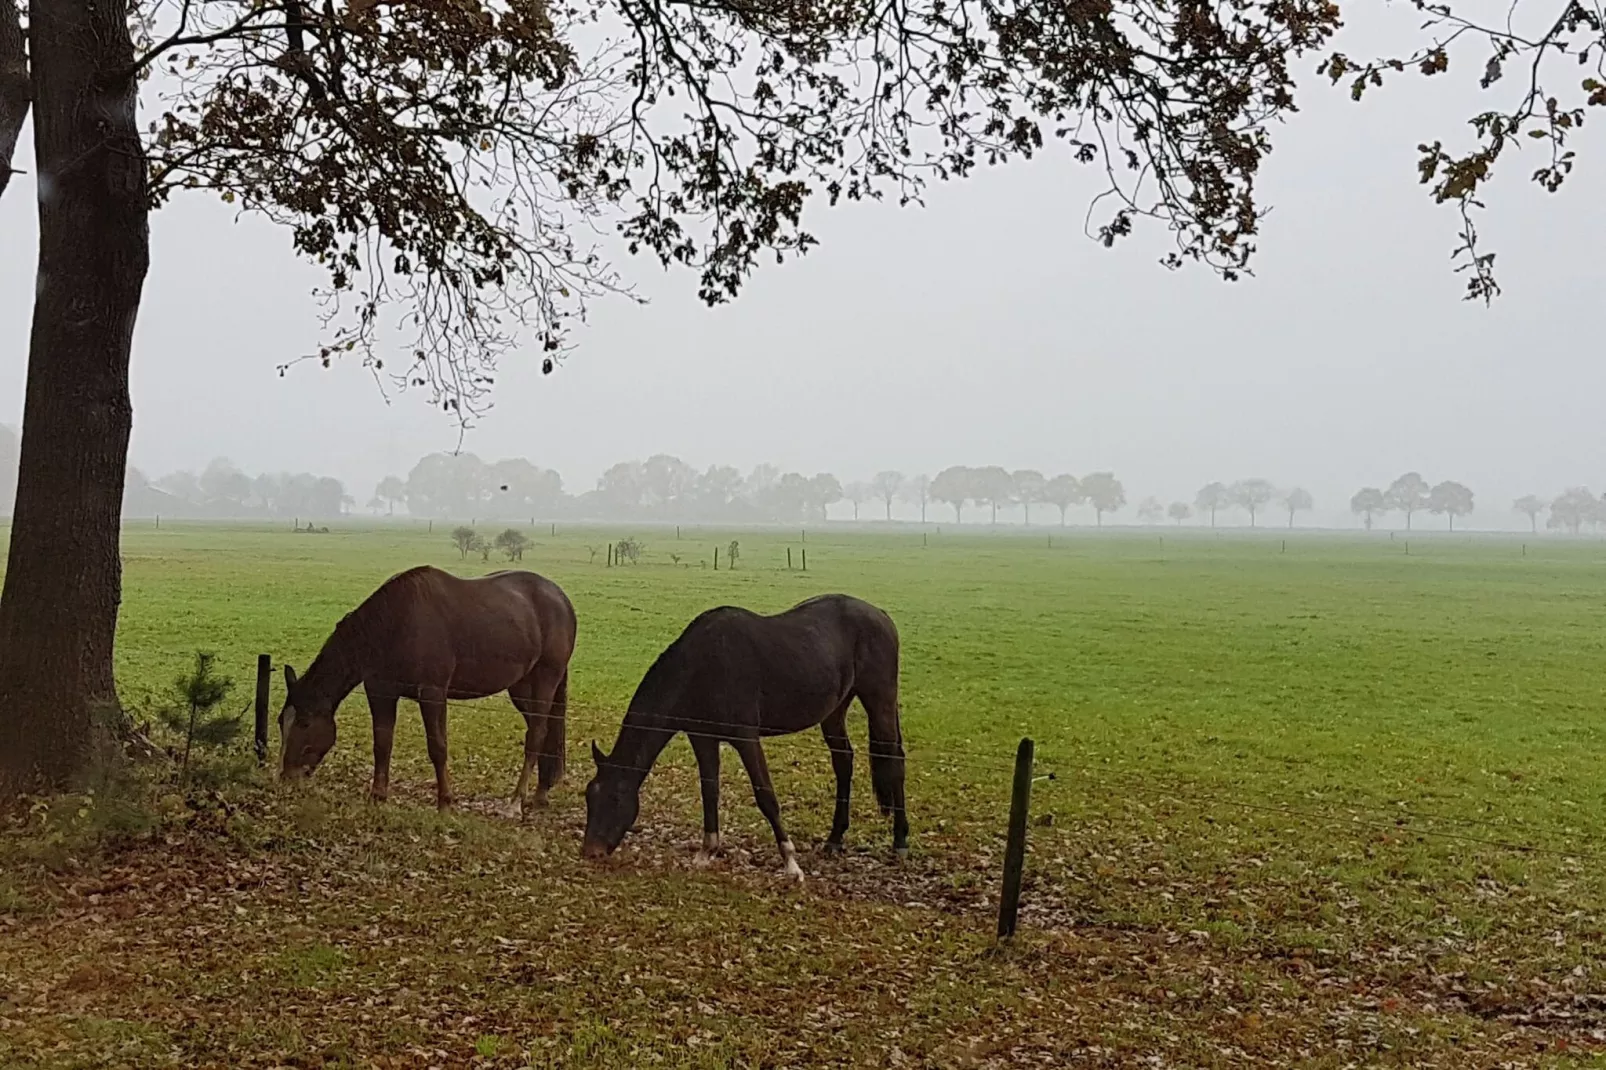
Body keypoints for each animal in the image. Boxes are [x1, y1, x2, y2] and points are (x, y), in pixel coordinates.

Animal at [281, 565, 578, 809]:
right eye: (280, 721)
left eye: (305, 723)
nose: (287, 778)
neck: (394, 623)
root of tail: (560, 599)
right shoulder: (381, 692)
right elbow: (382, 743)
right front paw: (377, 796)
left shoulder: (432, 693)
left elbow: (437, 747)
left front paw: (445, 802)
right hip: (521, 687)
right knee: (545, 731)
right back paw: (541, 792)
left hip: (546, 678)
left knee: (536, 734)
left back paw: (517, 800)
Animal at [581, 588, 912, 880]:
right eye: (589, 796)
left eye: (615, 798)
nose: (590, 852)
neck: (702, 666)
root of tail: (881, 615)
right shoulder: (702, 738)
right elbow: (709, 790)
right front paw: (707, 852)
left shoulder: (746, 738)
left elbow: (765, 795)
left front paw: (791, 864)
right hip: (834, 711)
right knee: (844, 762)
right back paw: (834, 839)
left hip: (879, 700)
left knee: (894, 762)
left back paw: (900, 841)